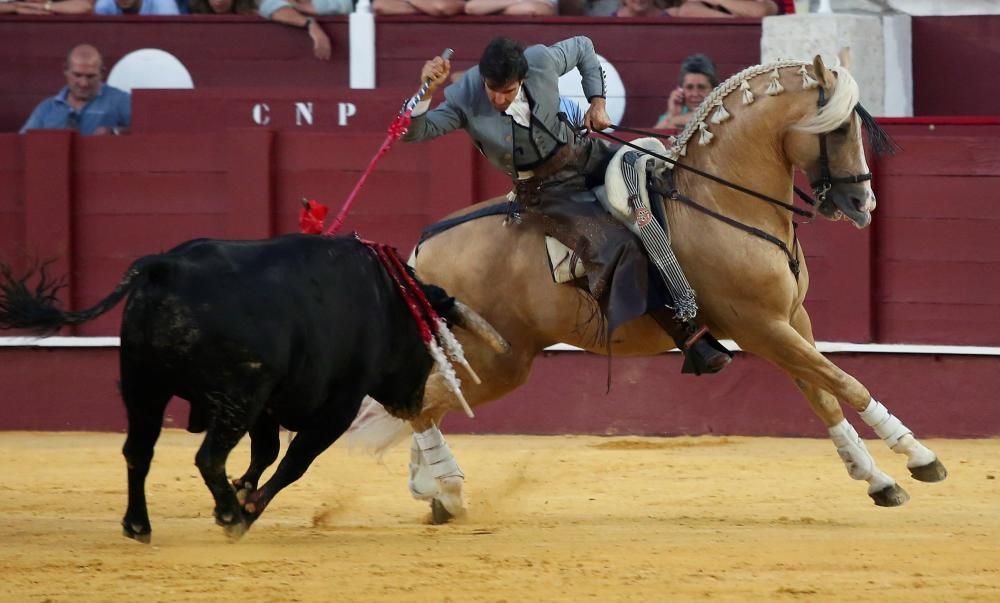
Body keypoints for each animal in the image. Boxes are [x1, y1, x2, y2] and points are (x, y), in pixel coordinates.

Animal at [0, 235, 508, 544]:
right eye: (429, 343)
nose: (413, 403)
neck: (385, 300)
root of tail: (163, 266)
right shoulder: (333, 408)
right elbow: (293, 462)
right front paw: (245, 506)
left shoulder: (268, 404)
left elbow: (265, 452)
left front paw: (242, 490)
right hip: (233, 397)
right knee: (207, 457)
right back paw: (230, 517)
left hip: (145, 388)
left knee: (137, 452)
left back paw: (139, 525)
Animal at [356, 53, 948, 524]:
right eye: (841, 128)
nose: (863, 205)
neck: (722, 200)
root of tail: (421, 248)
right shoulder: (761, 327)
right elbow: (848, 382)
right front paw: (919, 457)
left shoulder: (791, 320)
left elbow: (822, 393)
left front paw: (878, 480)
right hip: (501, 360)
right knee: (425, 404)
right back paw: (448, 491)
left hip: (488, 356)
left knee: (428, 398)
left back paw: (431, 488)